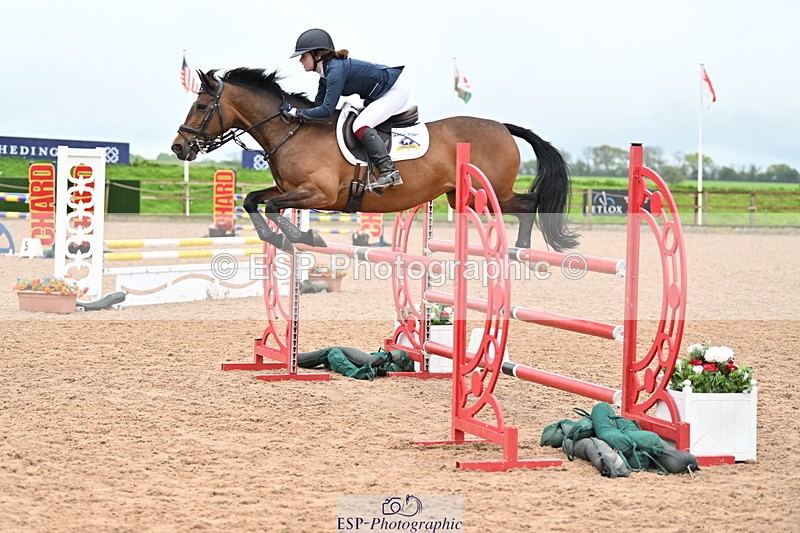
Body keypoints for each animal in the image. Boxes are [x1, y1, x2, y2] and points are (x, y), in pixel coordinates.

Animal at [172, 68, 579, 253]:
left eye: (202, 106)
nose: (179, 148)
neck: (293, 132)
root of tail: (503, 127)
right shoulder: (291, 188)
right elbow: (253, 200)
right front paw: (280, 239)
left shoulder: (319, 194)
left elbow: (272, 206)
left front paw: (303, 236)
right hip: (458, 197)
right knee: (526, 203)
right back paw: (521, 248)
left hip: (486, 191)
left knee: (530, 201)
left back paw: (521, 247)